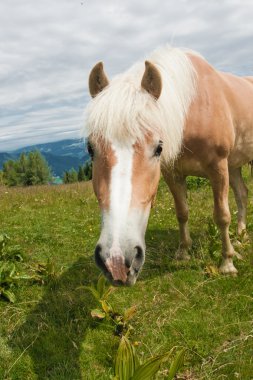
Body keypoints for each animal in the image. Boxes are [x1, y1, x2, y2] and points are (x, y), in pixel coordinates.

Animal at [83, 45, 253, 284]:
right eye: (90, 148)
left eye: (158, 148)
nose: (116, 260)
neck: (193, 108)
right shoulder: (173, 172)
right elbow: (182, 212)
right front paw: (183, 252)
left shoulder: (218, 167)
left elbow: (221, 215)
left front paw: (227, 263)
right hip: (235, 165)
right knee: (242, 194)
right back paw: (240, 235)